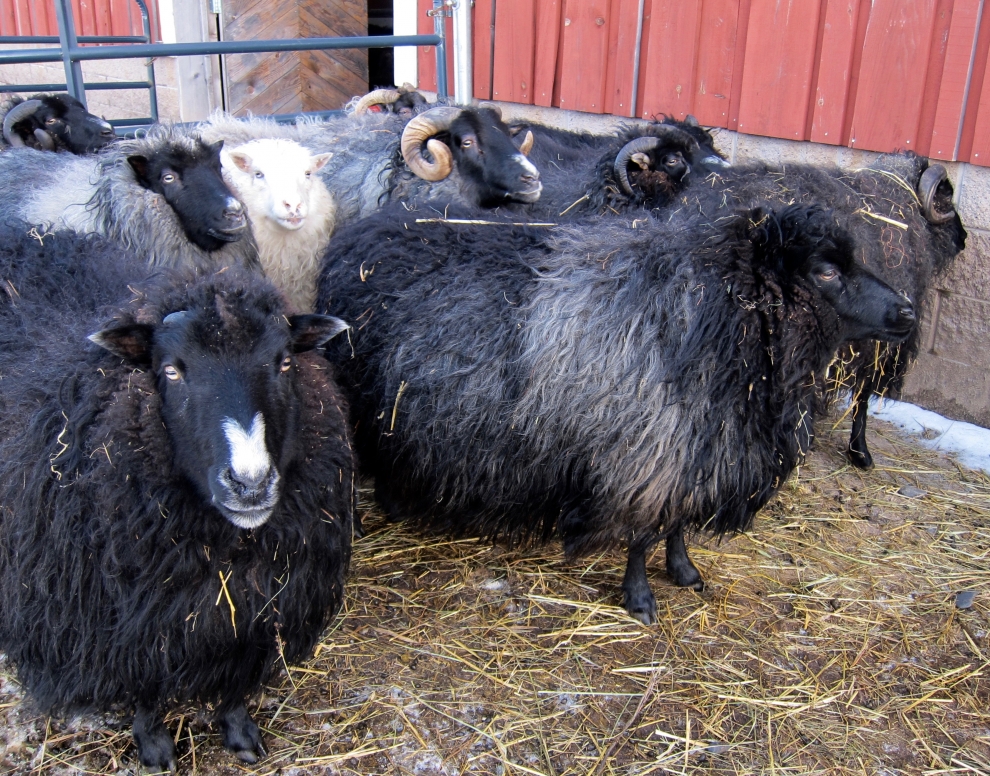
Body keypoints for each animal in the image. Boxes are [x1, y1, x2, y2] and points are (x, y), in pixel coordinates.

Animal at [0, 224, 356, 768]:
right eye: (170, 371)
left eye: (284, 362)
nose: (250, 483)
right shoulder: (128, 616)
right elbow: (144, 683)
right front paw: (154, 747)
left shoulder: (249, 608)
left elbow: (237, 677)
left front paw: (239, 733)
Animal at [316, 202, 916, 624]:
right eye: (825, 272)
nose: (908, 312)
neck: (726, 316)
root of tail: (351, 237)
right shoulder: (645, 455)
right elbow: (644, 535)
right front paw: (641, 598)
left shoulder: (690, 449)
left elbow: (677, 525)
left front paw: (685, 572)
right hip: (369, 405)